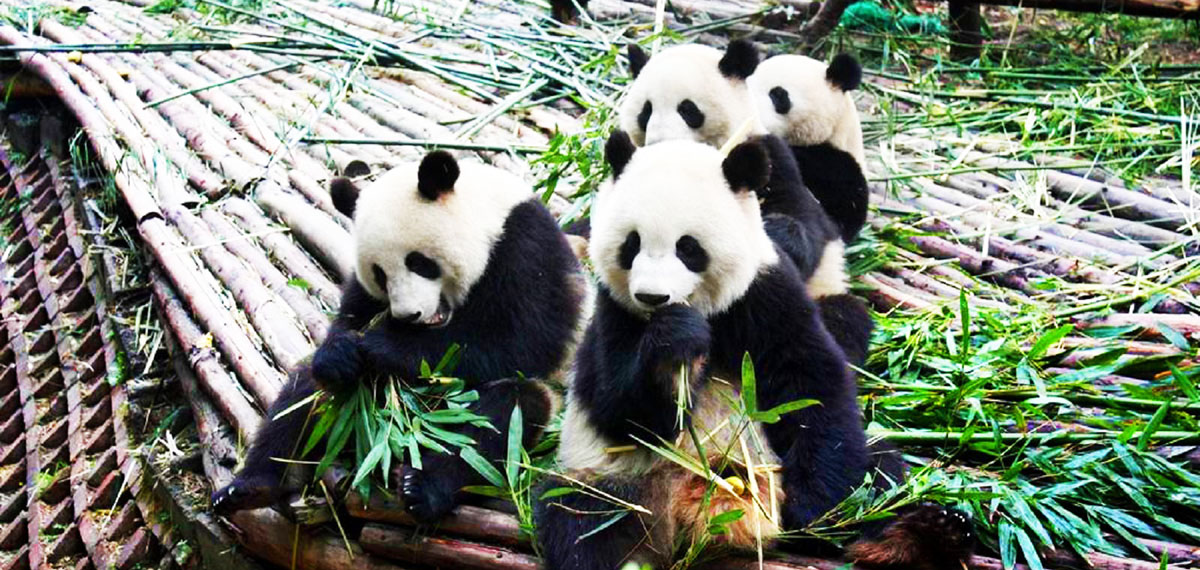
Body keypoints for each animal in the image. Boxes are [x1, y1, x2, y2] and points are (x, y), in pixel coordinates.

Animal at [211, 150, 585, 523]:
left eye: (419, 262)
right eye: (379, 274)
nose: (408, 316)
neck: (488, 212)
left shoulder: (525, 250)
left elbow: (523, 340)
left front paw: (385, 347)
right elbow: (349, 320)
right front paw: (345, 352)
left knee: (502, 415)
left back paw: (423, 490)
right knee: (302, 394)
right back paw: (249, 487)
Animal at [537, 133, 974, 570]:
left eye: (687, 247)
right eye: (631, 244)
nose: (652, 296)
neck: (704, 310)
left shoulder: (766, 292)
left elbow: (811, 383)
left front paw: (812, 509)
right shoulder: (613, 311)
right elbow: (620, 408)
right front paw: (675, 345)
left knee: (877, 476)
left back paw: (927, 532)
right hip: (618, 478)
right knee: (585, 518)